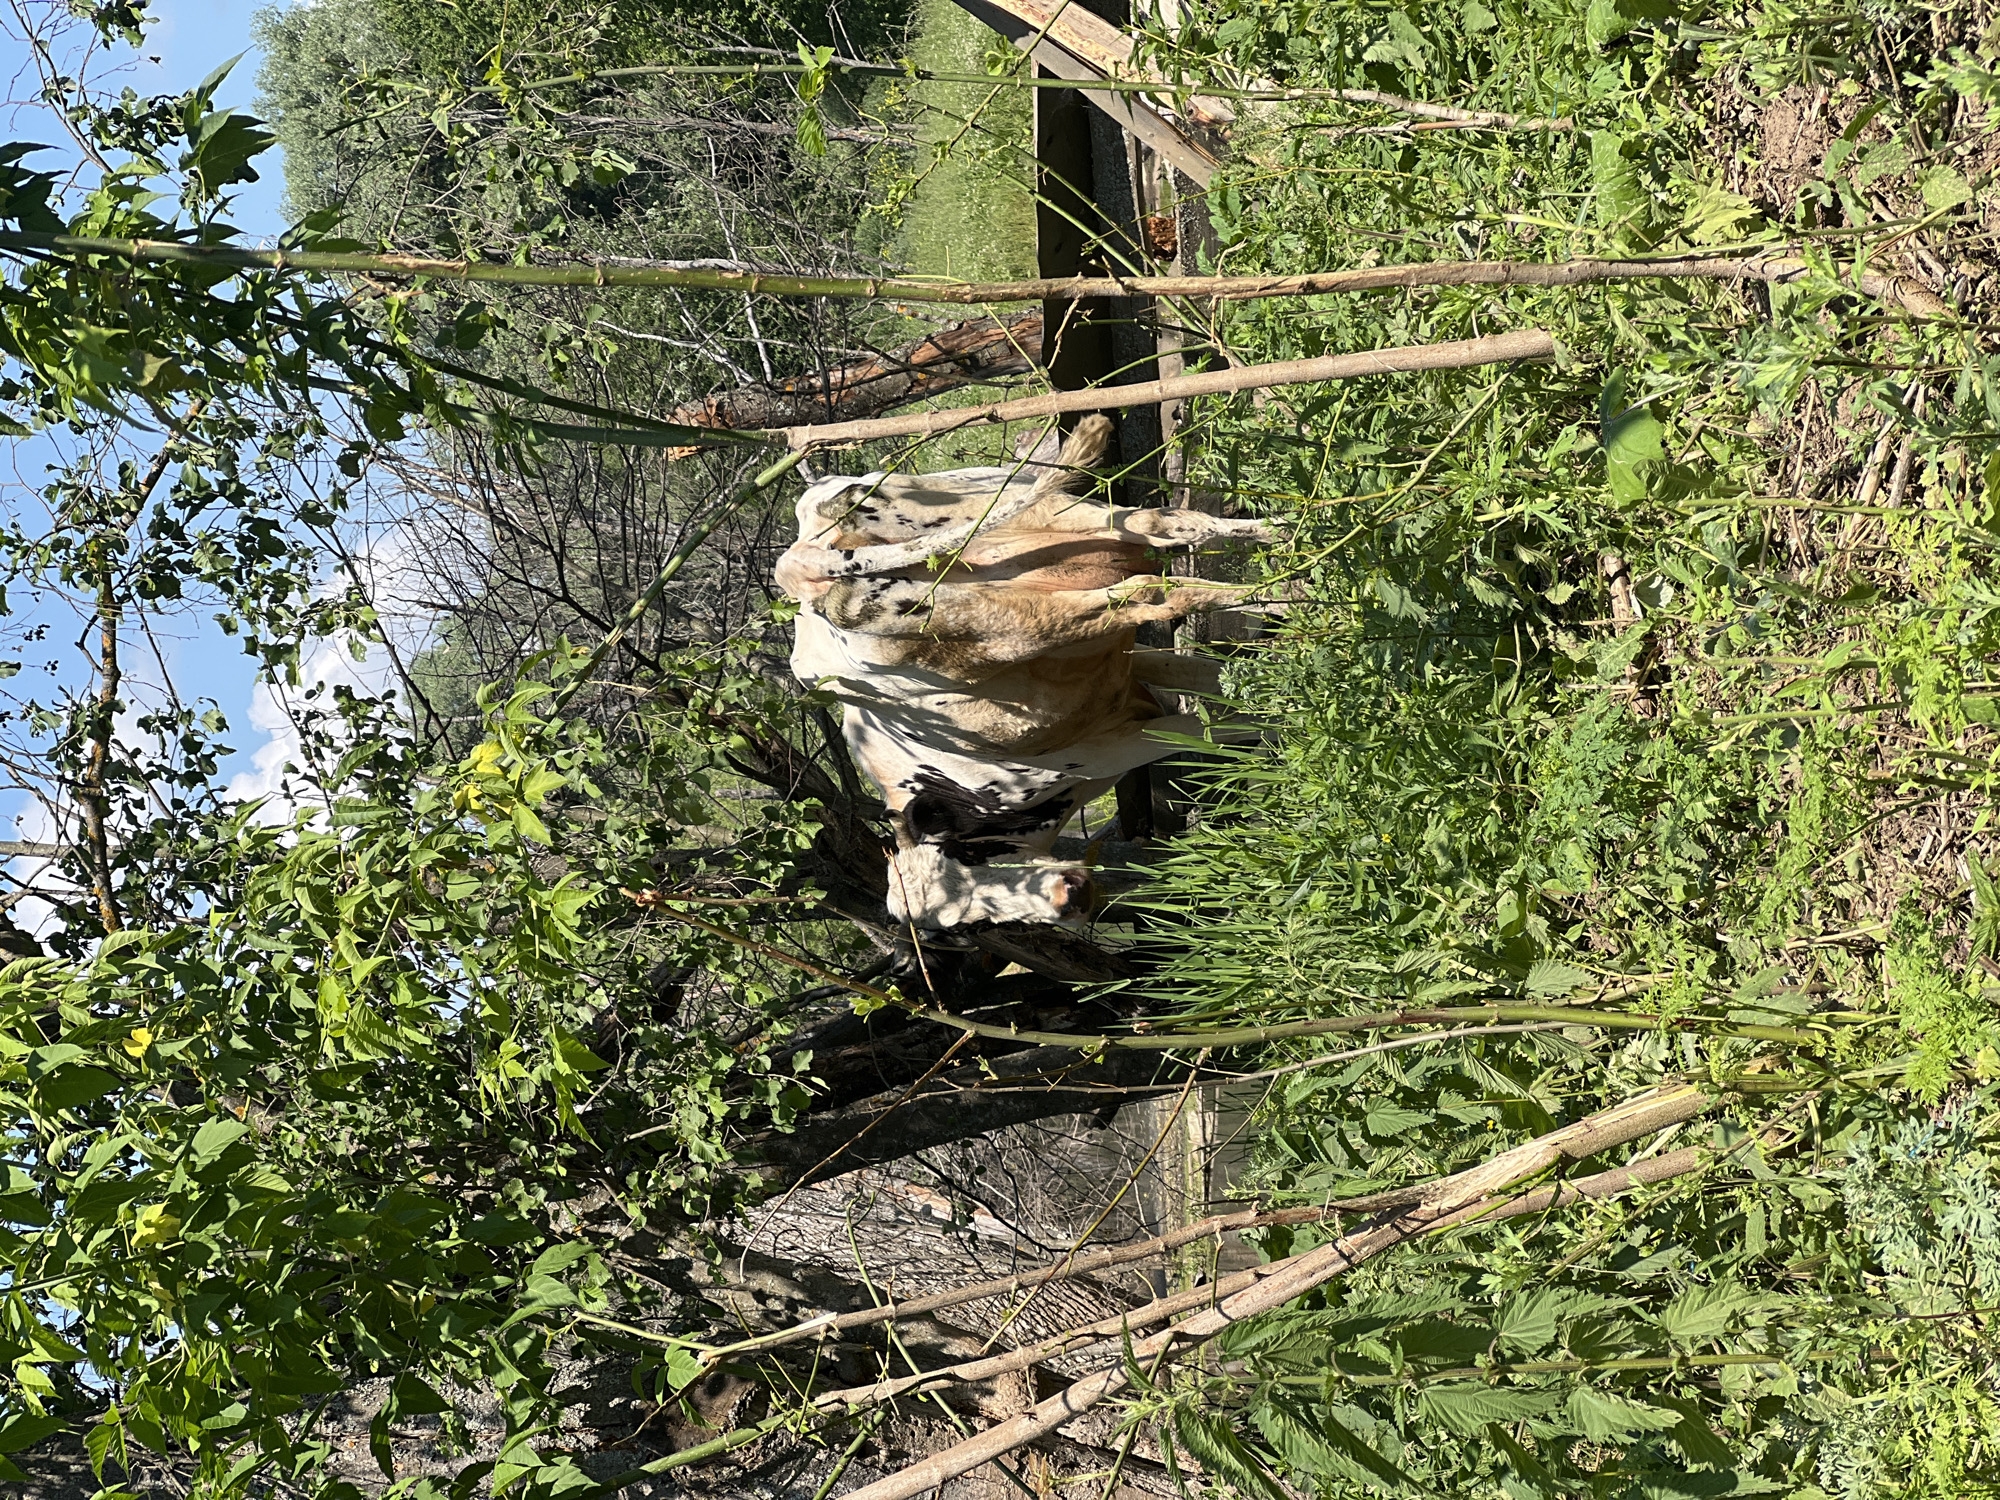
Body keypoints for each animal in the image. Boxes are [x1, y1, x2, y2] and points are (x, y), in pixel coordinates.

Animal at [777, 416, 1279, 931]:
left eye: (968, 855)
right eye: (978, 926)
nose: (1070, 899)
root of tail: (802, 564)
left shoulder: (1111, 747)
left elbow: (1228, 726)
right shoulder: (1122, 674)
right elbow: (1217, 687)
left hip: (1019, 616)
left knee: (1150, 591)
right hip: (1054, 519)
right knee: (1163, 528)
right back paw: (1288, 548)